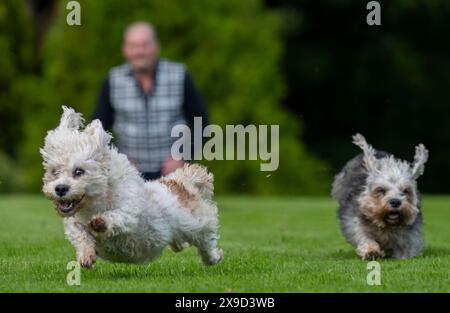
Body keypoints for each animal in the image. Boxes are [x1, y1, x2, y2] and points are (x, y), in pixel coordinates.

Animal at [39, 106, 222, 266]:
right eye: (54, 171)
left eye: (79, 171)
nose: (60, 188)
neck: (98, 199)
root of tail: (181, 184)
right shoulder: (73, 221)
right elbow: (79, 232)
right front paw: (86, 254)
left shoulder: (130, 210)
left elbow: (118, 215)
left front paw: (101, 222)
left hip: (196, 224)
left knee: (206, 242)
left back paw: (214, 257)